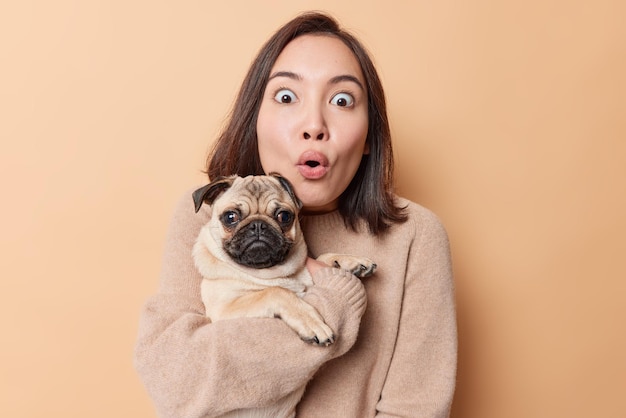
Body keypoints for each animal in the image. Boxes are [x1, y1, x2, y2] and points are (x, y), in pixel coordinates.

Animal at [190, 173, 376, 418]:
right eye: (230, 217)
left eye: (284, 216)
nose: (258, 225)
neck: (270, 272)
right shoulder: (224, 310)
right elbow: (277, 292)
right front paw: (311, 323)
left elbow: (322, 259)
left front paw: (350, 262)